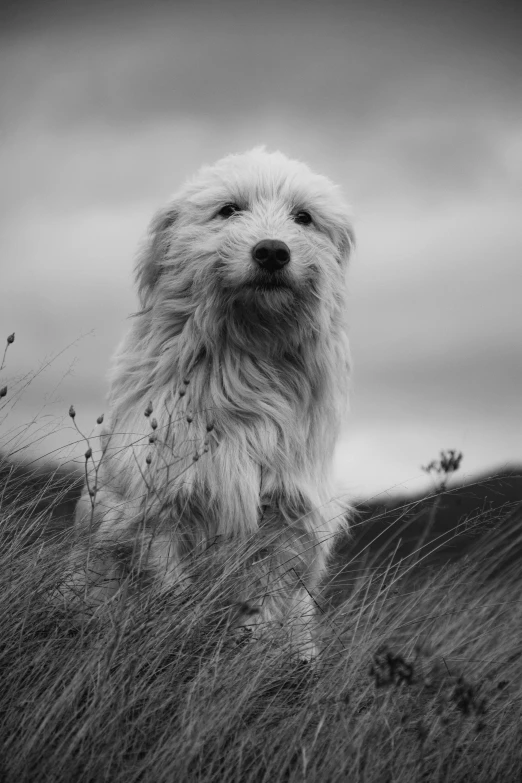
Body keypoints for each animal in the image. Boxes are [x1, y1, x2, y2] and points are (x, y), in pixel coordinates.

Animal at [69, 145, 352, 656]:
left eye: (303, 217)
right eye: (229, 209)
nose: (272, 251)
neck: (247, 362)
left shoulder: (285, 519)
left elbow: (261, 610)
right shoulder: (156, 506)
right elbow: (170, 592)